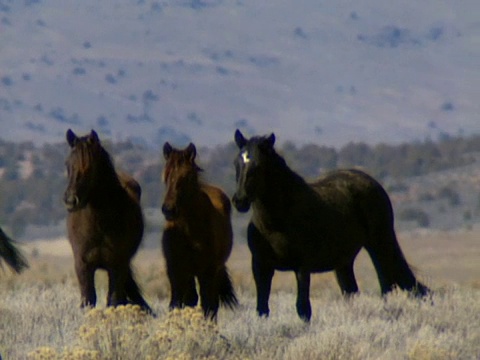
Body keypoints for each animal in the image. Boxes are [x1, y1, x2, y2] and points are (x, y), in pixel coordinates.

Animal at [64, 129, 152, 312]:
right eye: (67, 164)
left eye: (89, 167)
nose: (70, 200)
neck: (99, 225)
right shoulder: (83, 266)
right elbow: (88, 300)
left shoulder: (117, 266)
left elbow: (114, 300)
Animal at [161, 141, 238, 318]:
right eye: (166, 175)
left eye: (187, 177)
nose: (169, 209)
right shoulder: (175, 270)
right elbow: (176, 303)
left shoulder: (207, 272)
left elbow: (208, 305)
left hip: (213, 271)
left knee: (211, 303)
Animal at [232, 129, 428, 320]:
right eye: (236, 163)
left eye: (258, 166)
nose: (239, 201)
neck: (275, 223)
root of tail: (373, 183)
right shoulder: (261, 267)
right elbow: (262, 309)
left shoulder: (302, 267)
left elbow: (303, 308)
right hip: (344, 262)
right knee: (352, 292)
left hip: (379, 245)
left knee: (386, 287)